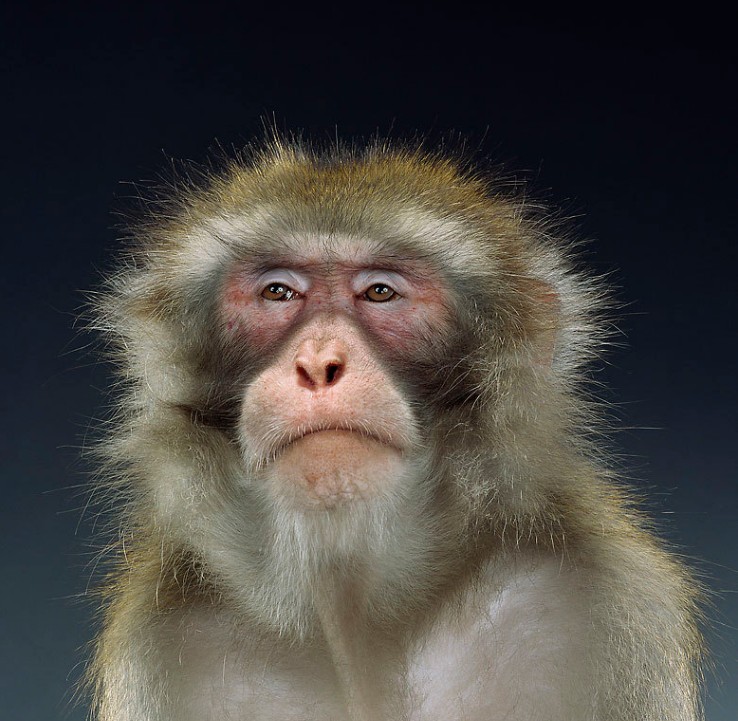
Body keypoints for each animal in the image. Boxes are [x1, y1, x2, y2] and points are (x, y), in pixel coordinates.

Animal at [86, 137, 703, 721]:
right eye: (277, 293)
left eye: (380, 292)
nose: (318, 363)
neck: (357, 622)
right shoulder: (166, 638)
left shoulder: (599, 599)